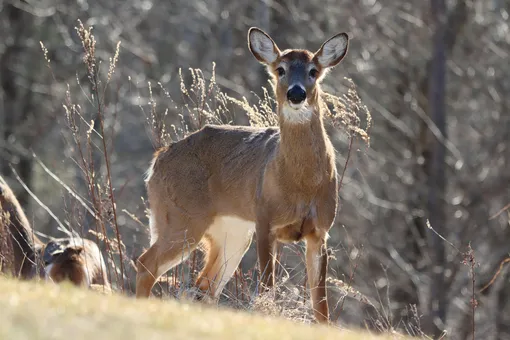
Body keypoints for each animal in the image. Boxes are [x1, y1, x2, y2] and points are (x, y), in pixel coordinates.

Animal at [135, 27, 350, 324]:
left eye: (313, 71)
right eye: (280, 69)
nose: (296, 94)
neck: (302, 185)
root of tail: (158, 160)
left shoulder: (320, 231)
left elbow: (321, 306)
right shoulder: (266, 220)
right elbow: (267, 288)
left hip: (231, 232)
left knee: (203, 287)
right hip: (181, 217)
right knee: (147, 264)